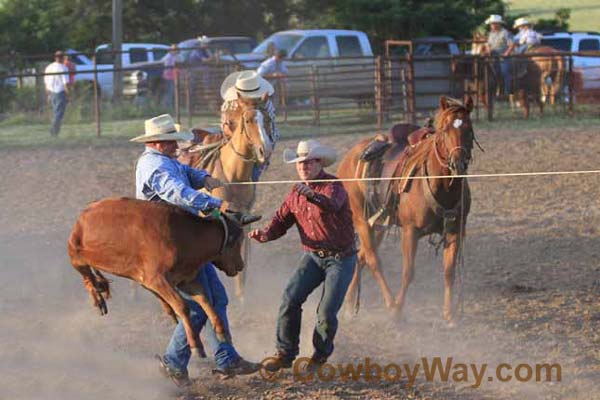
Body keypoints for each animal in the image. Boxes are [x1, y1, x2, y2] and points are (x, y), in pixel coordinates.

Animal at [178, 97, 272, 304]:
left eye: (268, 119)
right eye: (248, 121)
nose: (265, 151)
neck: (233, 175)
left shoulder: (242, 218)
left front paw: (241, 296)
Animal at [340, 95, 476, 324]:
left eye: (469, 128)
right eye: (445, 129)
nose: (458, 163)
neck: (441, 185)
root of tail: (348, 157)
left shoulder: (454, 231)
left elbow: (448, 271)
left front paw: (449, 315)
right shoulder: (410, 231)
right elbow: (408, 272)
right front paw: (398, 310)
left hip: (377, 224)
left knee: (361, 256)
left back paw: (349, 304)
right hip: (360, 219)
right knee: (374, 260)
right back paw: (389, 304)